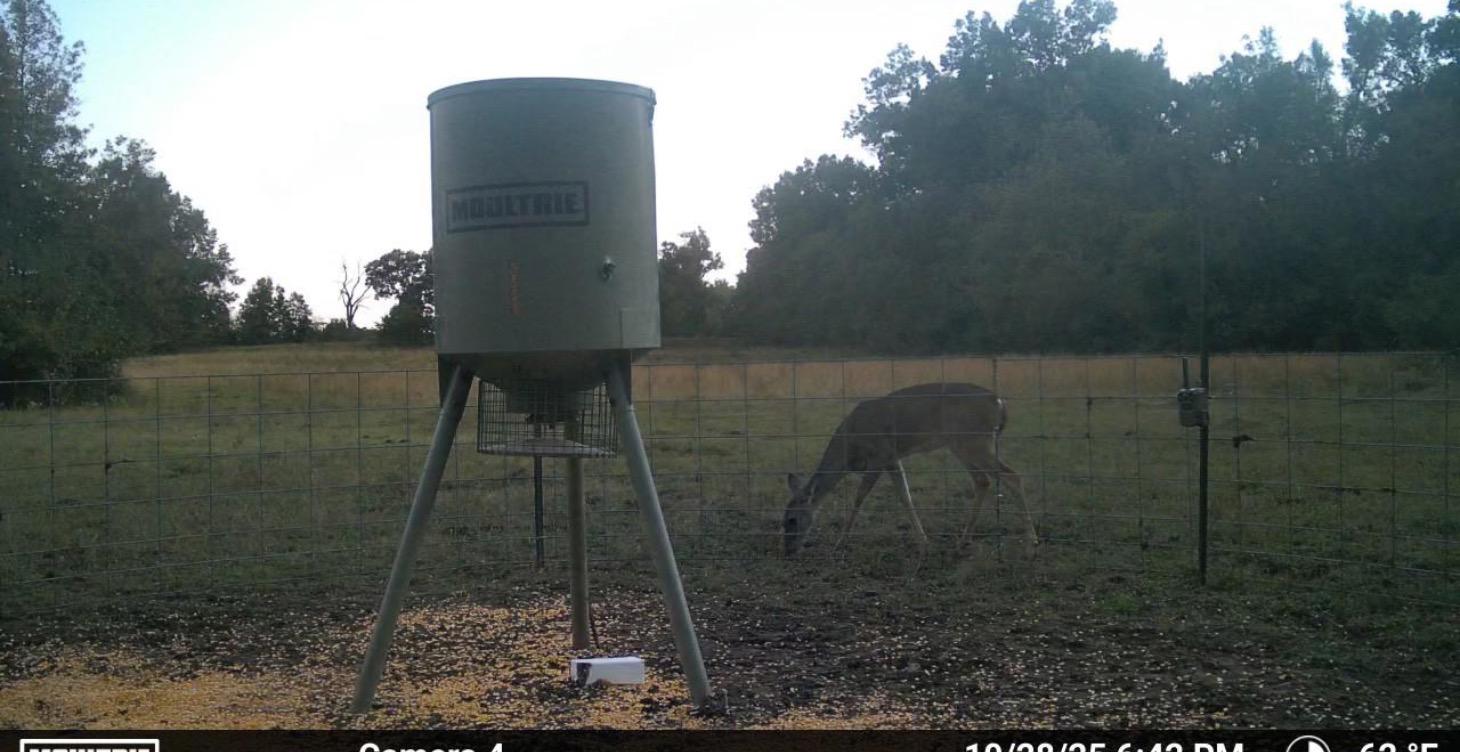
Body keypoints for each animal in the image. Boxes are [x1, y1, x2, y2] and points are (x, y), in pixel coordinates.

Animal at [781, 382, 1037, 557]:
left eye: (792, 520)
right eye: (783, 520)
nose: (789, 550)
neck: (849, 448)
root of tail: (999, 402)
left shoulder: (880, 455)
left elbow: (859, 497)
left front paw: (840, 542)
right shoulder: (893, 459)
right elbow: (905, 497)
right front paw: (923, 541)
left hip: (973, 441)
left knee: (1011, 476)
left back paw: (1031, 541)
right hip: (963, 444)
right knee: (983, 480)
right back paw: (963, 541)